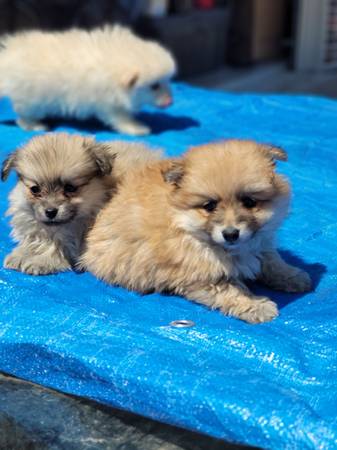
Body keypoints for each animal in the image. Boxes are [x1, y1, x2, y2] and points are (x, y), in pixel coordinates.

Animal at [0, 26, 177, 134]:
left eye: (168, 80)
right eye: (154, 86)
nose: (170, 102)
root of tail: (7, 62)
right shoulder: (109, 104)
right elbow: (121, 118)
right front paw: (136, 127)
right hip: (31, 101)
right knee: (23, 117)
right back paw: (34, 125)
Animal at [1, 133, 161, 274]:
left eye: (70, 188)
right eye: (35, 189)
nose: (50, 212)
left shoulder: (76, 239)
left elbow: (57, 247)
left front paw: (40, 261)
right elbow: (37, 239)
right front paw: (20, 253)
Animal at [80, 141, 310, 324]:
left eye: (249, 202)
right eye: (209, 206)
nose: (231, 234)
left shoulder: (260, 243)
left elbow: (272, 261)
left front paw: (294, 276)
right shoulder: (200, 276)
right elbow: (232, 290)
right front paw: (256, 306)